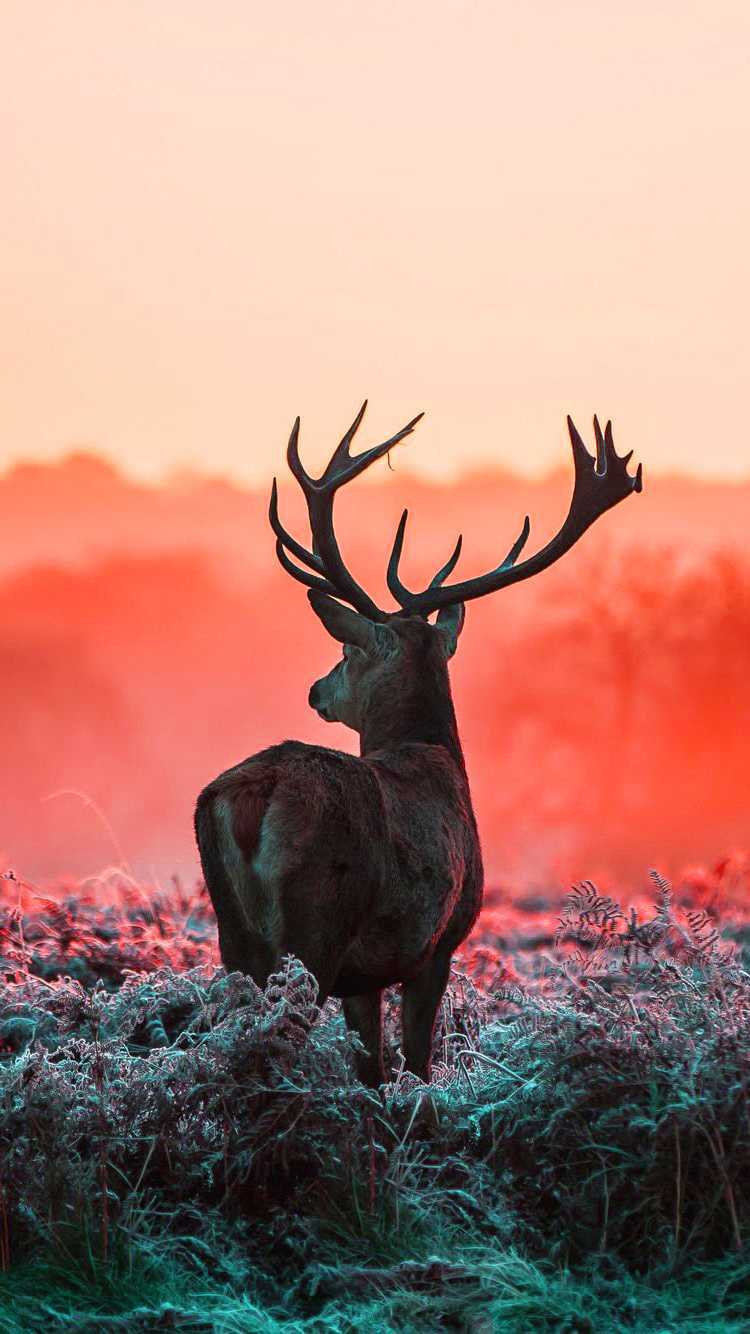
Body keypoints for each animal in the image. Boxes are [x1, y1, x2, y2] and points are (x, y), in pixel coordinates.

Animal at [194, 403, 642, 1087]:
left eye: (346, 649)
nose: (316, 690)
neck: (435, 754)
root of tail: (250, 797)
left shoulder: (367, 975)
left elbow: (373, 1068)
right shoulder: (437, 943)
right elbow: (419, 1065)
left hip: (234, 935)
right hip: (316, 925)